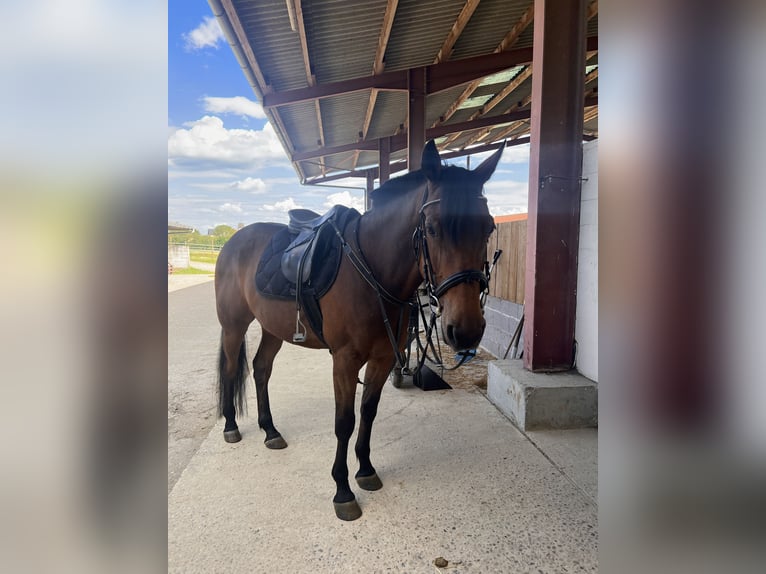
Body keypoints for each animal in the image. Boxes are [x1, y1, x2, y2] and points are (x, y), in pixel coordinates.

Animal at [216, 141, 504, 520]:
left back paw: (270, 430)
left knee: (261, 370)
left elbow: (368, 412)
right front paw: (342, 491)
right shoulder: (345, 361)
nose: (466, 330)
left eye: (487, 227)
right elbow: (345, 422)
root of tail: (234, 241)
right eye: (432, 228)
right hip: (233, 325)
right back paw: (231, 427)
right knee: (232, 369)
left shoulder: (382, 359)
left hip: (272, 329)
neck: (373, 271)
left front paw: (365, 470)